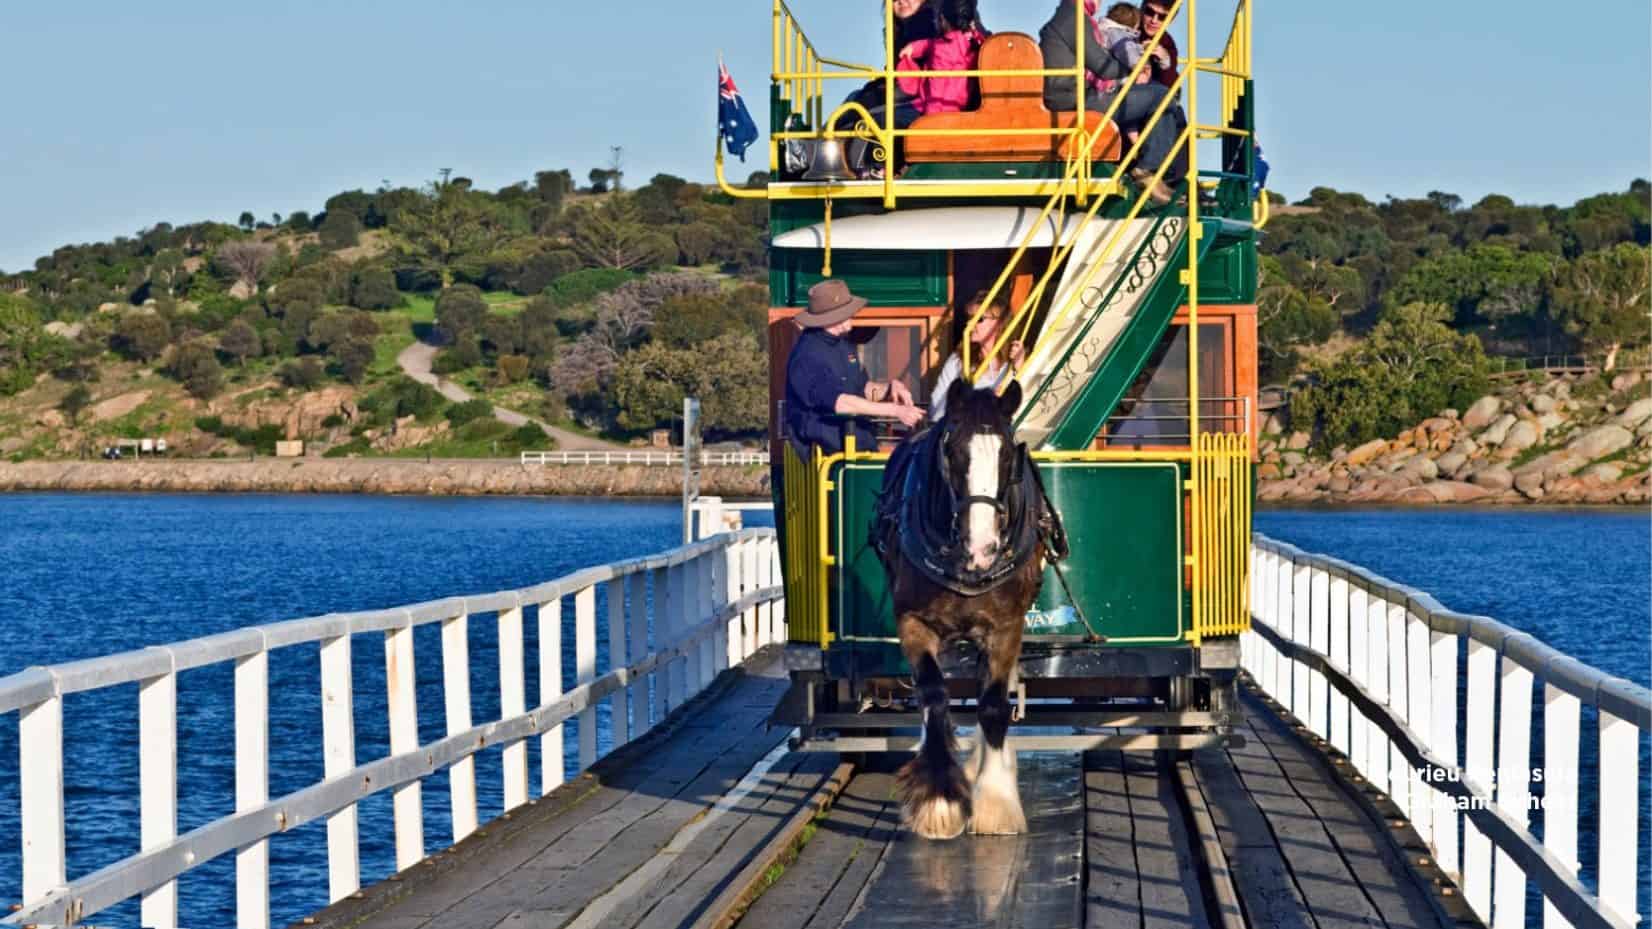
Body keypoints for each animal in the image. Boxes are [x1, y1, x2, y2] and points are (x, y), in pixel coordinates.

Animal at [872, 376, 1063, 839]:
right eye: (952, 450)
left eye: (1008, 455)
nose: (983, 549)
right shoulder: (913, 622)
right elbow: (933, 694)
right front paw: (939, 798)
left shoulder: (1006, 626)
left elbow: (993, 704)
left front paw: (994, 801)